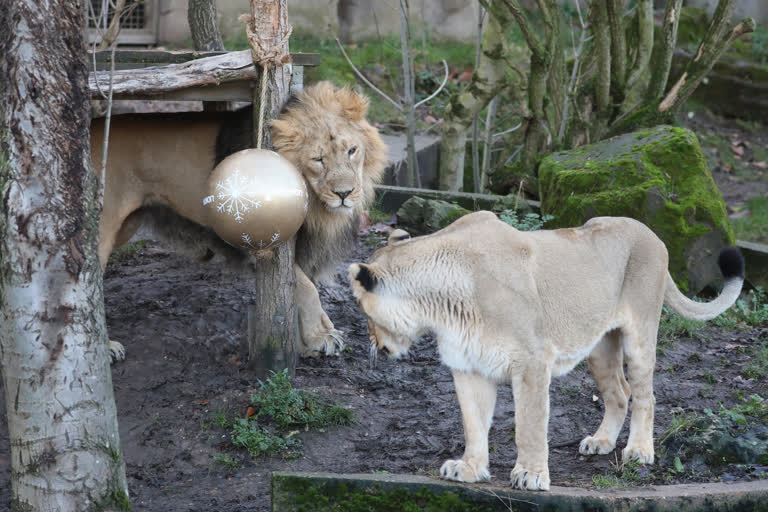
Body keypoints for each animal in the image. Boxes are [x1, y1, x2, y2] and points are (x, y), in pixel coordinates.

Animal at [92, 81, 388, 360]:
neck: (316, 206)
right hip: (103, 228)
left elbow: (302, 291)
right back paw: (107, 347)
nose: (344, 193)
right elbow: (305, 287)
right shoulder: (257, 236)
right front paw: (320, 337)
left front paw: (310, 341)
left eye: (352, 151)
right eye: (318, 159)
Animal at [348, 210, 744, 490]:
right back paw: (601, 442)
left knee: (646, 395)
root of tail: (651, 233)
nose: (374, 344)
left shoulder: (532, 362)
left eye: (362, 310)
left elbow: (529, 424)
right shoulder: (469, 366)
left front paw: (531, 475)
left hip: (641, 334)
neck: (441, 305)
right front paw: (470, 468)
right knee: (619, 392)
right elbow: (473, 424)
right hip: (599, 345)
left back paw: (639, 451)